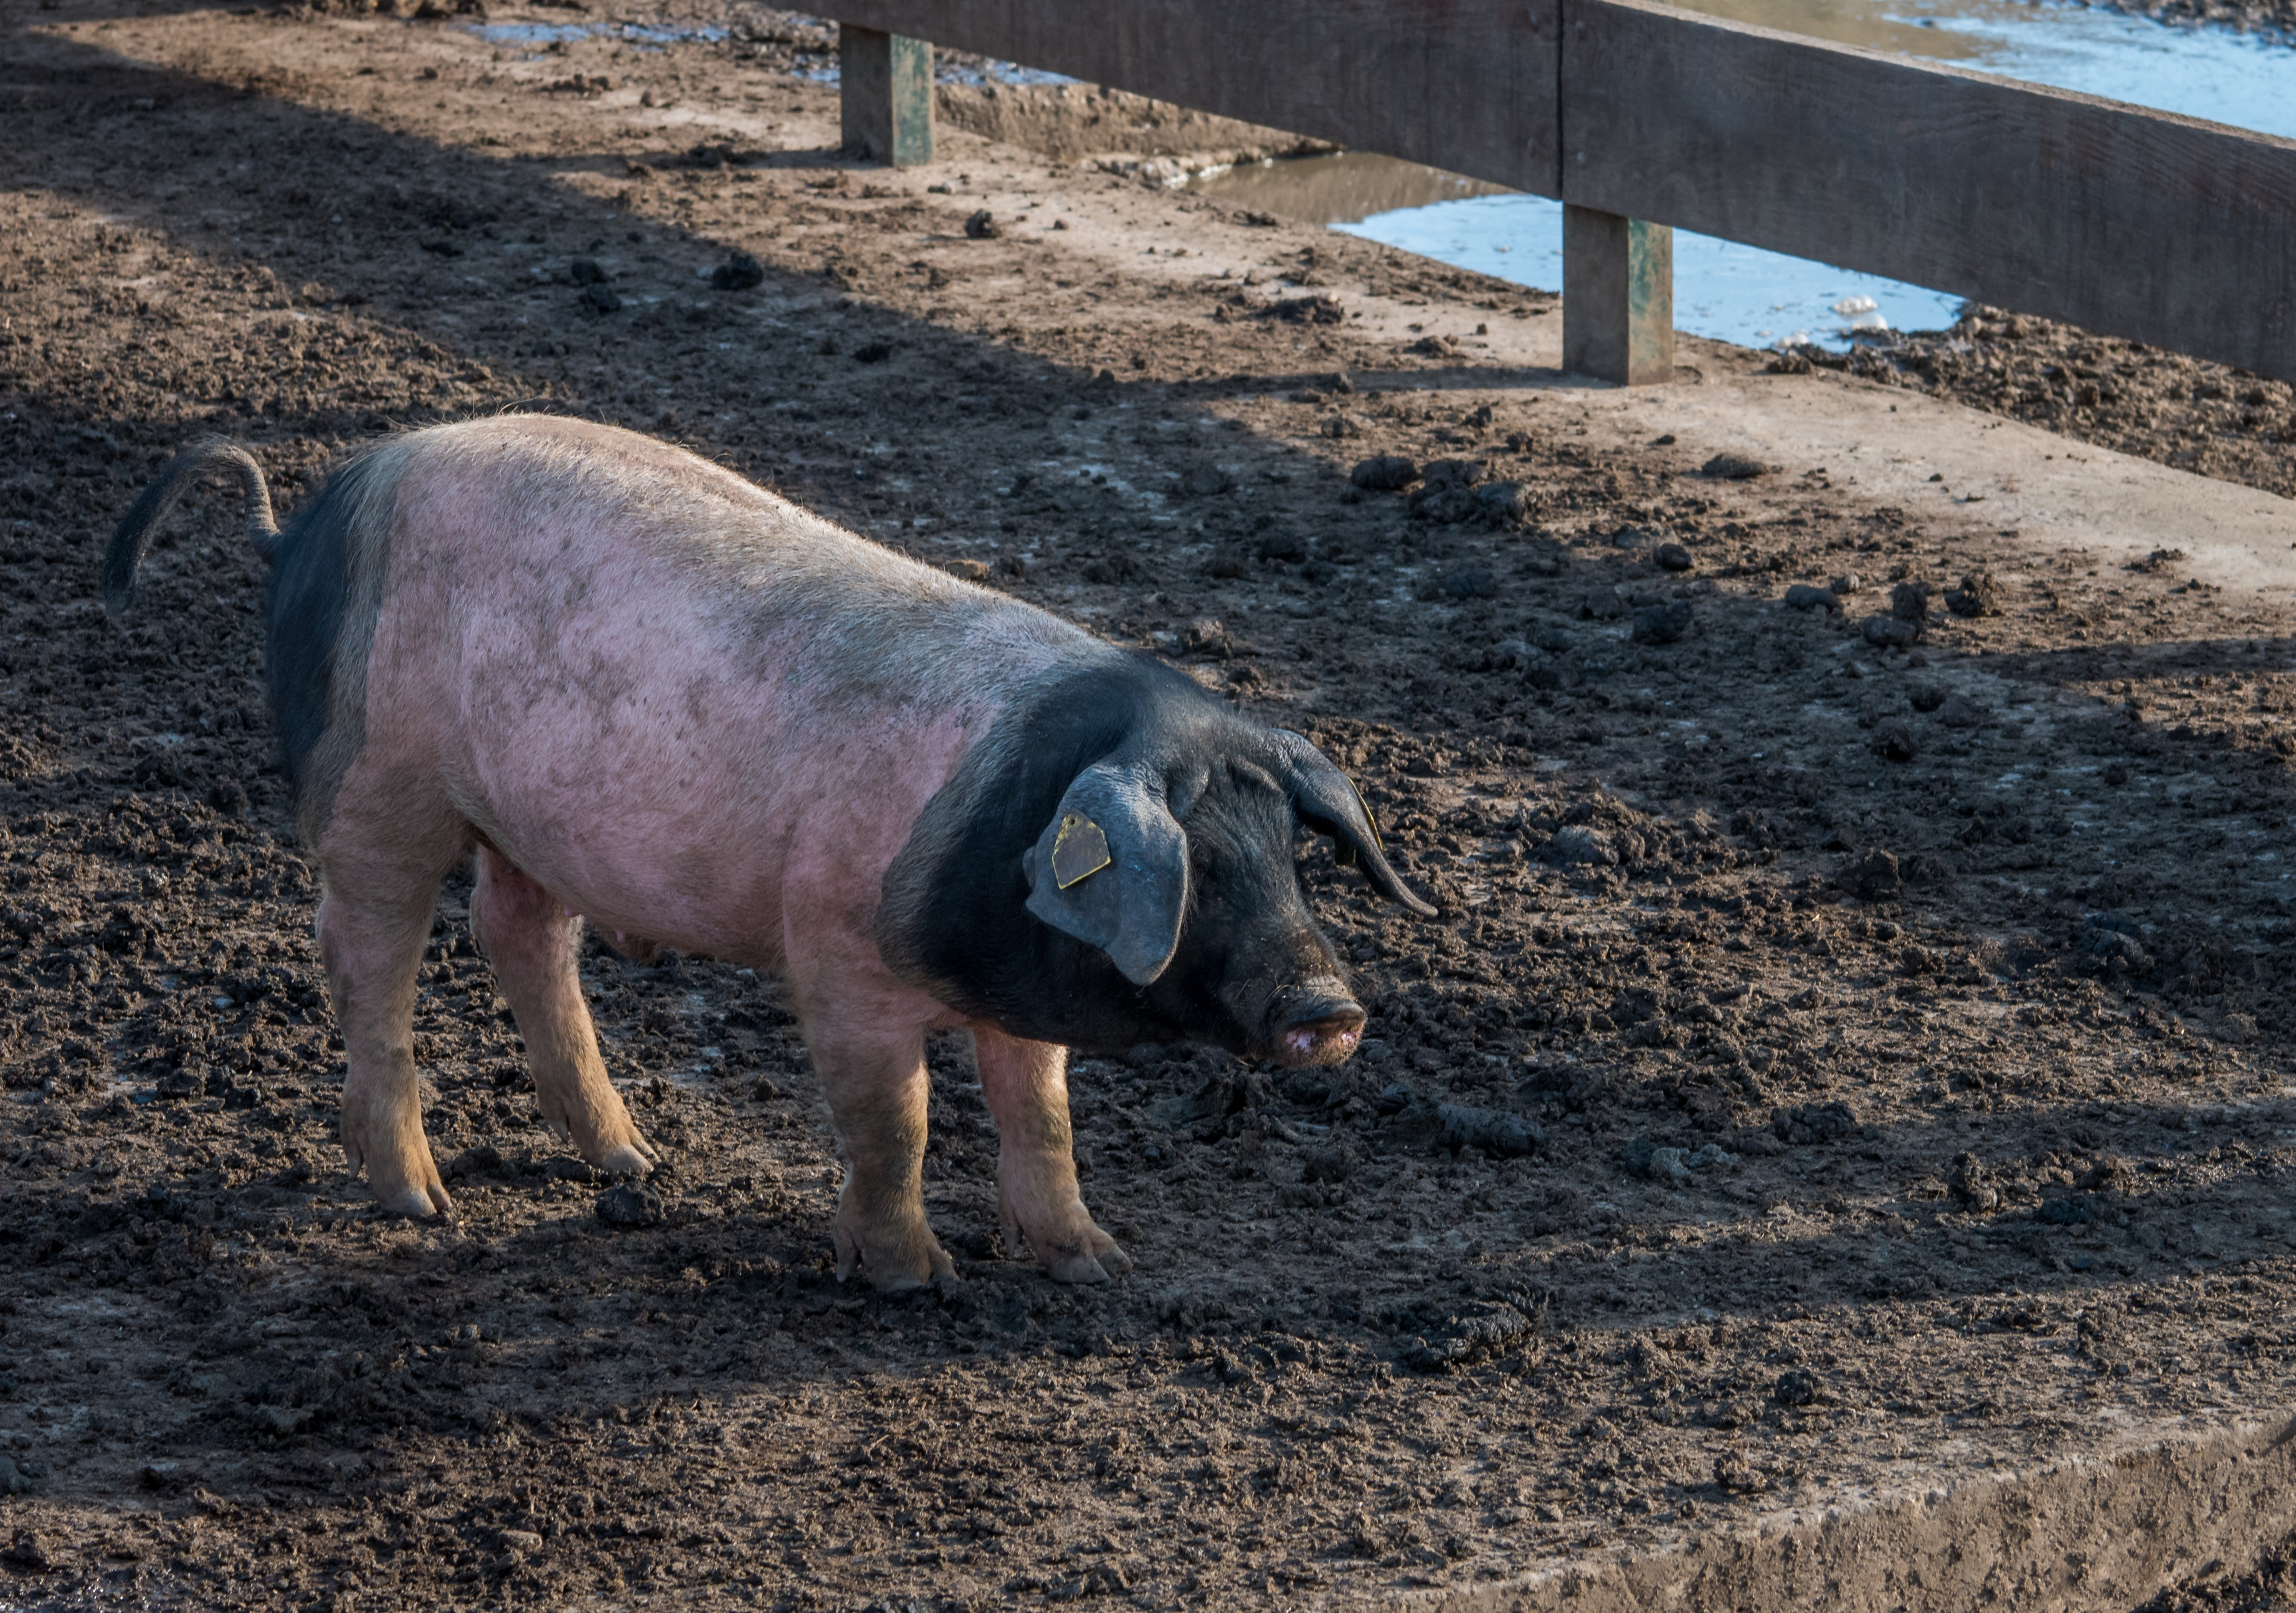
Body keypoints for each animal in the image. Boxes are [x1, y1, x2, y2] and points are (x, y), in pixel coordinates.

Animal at [105, 417, 1434, 1289]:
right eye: (1197, 867)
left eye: (1290, 854)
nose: (1332, 1008)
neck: (1008, 842)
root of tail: (298, 525)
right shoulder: (835, 952)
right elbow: (895, 1121)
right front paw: (916, 1279)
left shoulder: (1012, 1003)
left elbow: (1041, 1115)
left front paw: (1096, 1263)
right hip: (381, 784)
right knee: (364, 954)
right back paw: (422, 1203)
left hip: (531, 819)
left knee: (519, 937)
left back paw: (635, 1167)